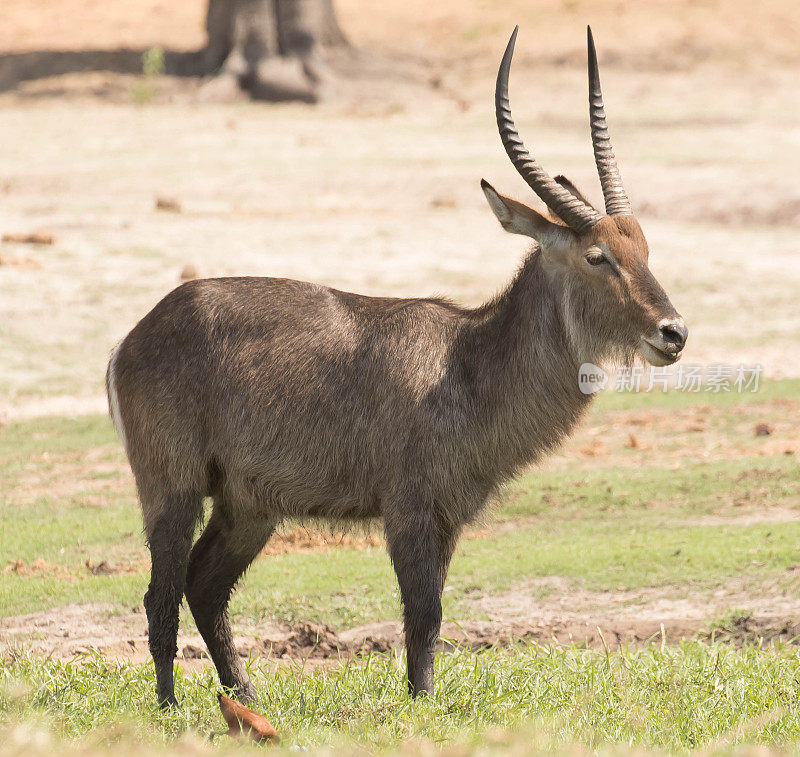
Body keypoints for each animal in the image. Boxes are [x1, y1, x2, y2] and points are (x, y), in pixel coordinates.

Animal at [103, 25, 684, 708]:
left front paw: (423, 699)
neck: (468, 363)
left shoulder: (449, 515)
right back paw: (171, 705)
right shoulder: (407, 507)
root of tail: (135, 335)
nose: (673, 332)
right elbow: (423, 611)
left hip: (249, 503)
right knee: (161, 593)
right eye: (598, 257)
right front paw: (422, 707)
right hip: (172, 483)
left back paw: (245, 700)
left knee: (204, 585)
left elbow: (430, 613)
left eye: (643, 246)